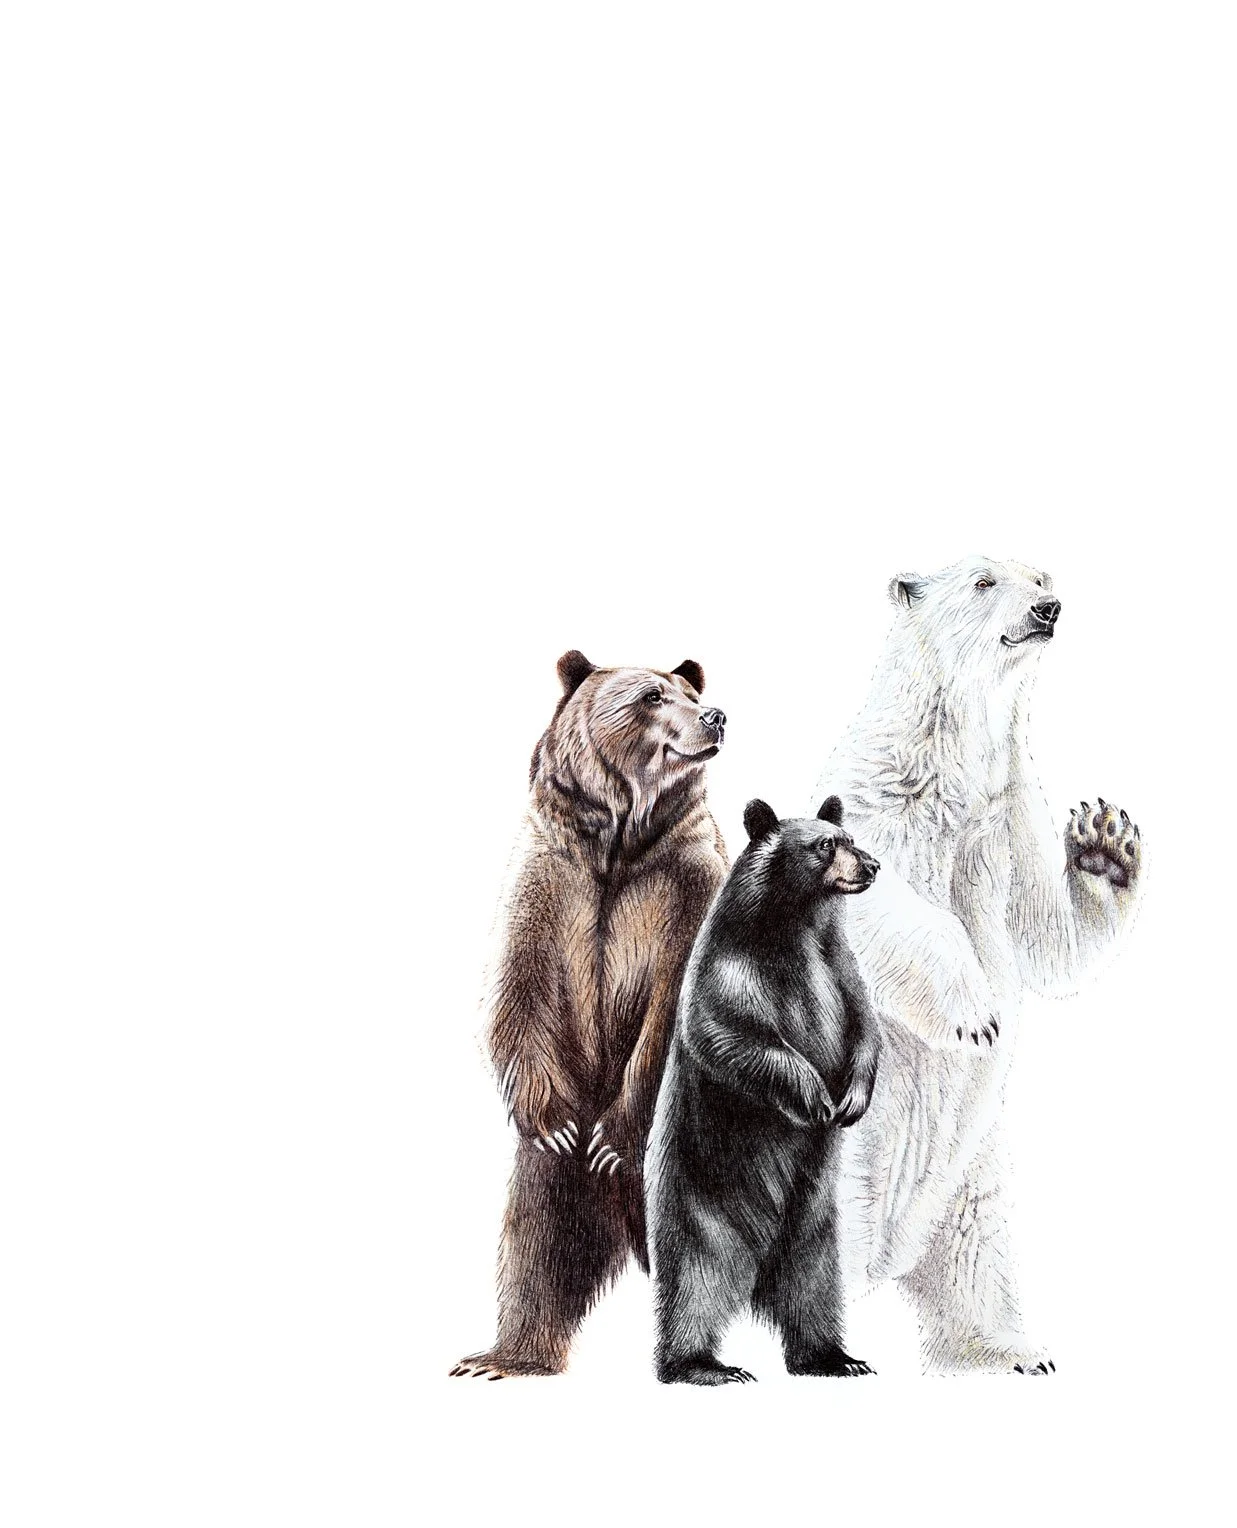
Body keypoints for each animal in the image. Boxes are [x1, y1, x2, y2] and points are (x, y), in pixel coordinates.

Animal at [451, 649, 729, 1380]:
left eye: (691, 693)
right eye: (653, 695)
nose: (715, 716)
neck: (621, 842)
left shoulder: (687, 884)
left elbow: (673, 1004)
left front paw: (612, 1134)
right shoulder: (549, 877)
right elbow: (516, 986)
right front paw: (551, 1121)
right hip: (553, 1177)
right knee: (537, 1242)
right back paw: (506, 1356)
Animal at [646, 795, 882, 1386]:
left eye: (848, 836)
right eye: (824, 845)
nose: (872, 866)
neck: (796, 925)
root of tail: (756, 1278)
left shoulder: (838, 965)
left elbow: (866, 1027)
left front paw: (852, 1099)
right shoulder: (731, 967)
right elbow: (731, 1032)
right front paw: (815, 1094)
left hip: (815, 1224)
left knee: (813, 1289)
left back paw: (833, 1357)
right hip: (701, 1208)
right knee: (693, 1285)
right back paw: (702, 1365)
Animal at [808, 557, 1145, 1374]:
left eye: (1041, 574)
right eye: (984, 581)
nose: (1049, 608)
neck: (952, 758)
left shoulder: (1011, 813)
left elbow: (1048, 934)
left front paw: (1104, 842)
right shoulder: (876, 795)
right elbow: (865, 901)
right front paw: (974, 1016)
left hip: (970, 1162)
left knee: (977, 1243)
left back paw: (1014, 1349)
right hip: (840, 1146)